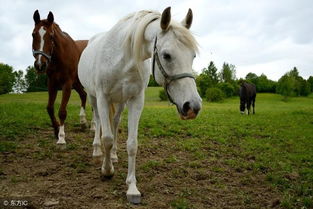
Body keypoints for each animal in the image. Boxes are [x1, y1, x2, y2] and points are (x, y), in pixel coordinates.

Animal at [31, 10, 88, 145]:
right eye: (33, 34)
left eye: (51, 36)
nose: (40, 65)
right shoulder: (52, 83)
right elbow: (49, 108)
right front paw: (56, 131)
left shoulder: (67, 84)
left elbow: (62, 111)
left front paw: (61, 138)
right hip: (77, 84)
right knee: (84, 95)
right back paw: (83, 122)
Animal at [77, 7, 201, 203]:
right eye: (166, 55)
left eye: (193, 55)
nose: (192, 106)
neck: (122, 58)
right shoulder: (103, 97)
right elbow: (107, 138)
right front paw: (106, 170)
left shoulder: (136, 100)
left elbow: (132, 144)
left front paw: (132, 187)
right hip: (93, 97)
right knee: (97, 121)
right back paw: (97, 153)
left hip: (120, 101)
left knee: (115, 122)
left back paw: (113, 156)